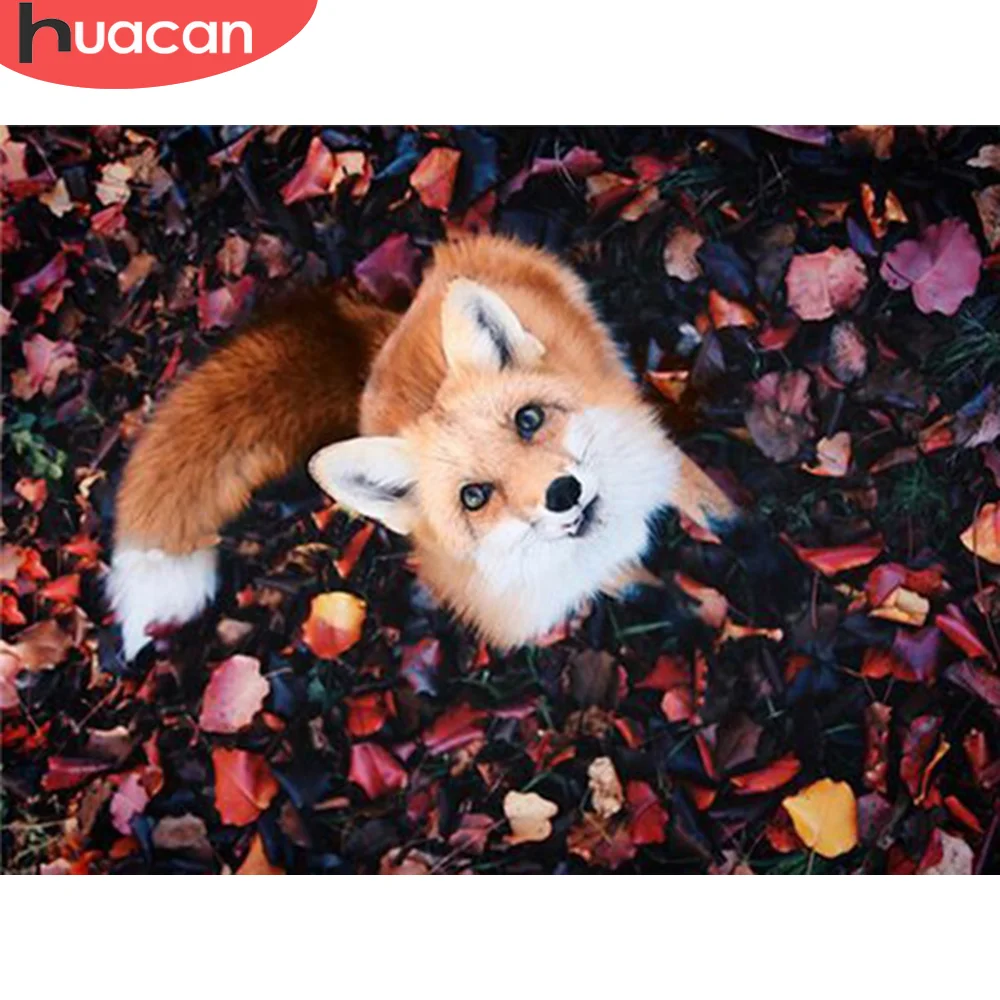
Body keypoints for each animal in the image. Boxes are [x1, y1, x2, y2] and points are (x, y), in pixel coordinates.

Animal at [109, 234, 740, 659]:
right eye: (474, 497)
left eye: (529, 420)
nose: (563, 493)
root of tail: (390, 331)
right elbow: (633, 583)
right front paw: (675, 606)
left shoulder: (662, 458)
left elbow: (712, 504)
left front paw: (739, 537)